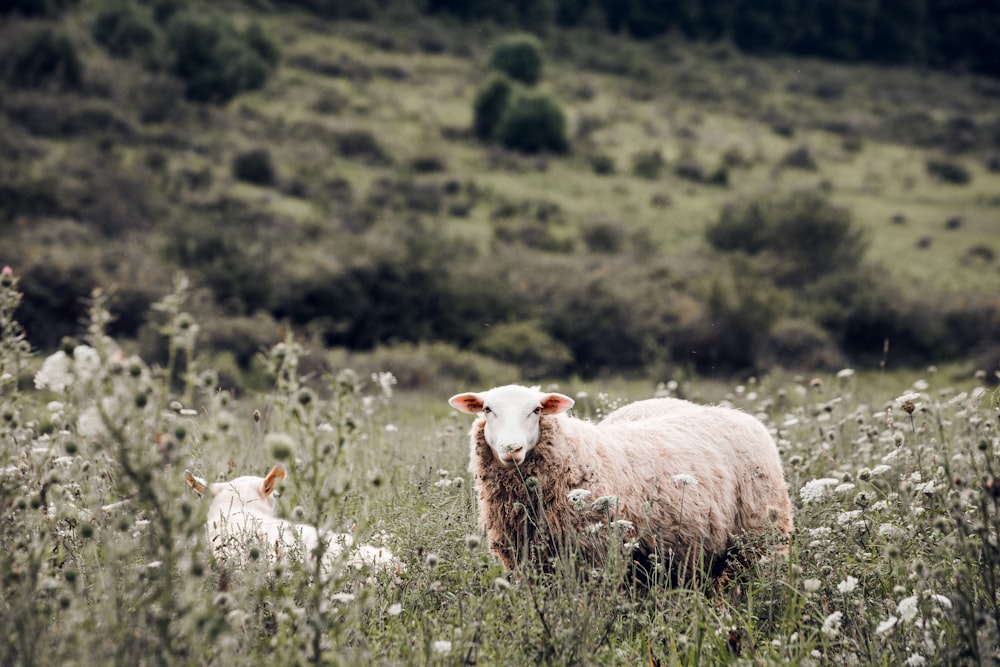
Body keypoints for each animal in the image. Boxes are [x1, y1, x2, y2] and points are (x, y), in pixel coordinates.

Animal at [450, 384, 792, 580]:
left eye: (536, 410)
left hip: (758, 540)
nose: (512, 449)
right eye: (487, 409)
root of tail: (731, 411)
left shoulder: (593, 558)